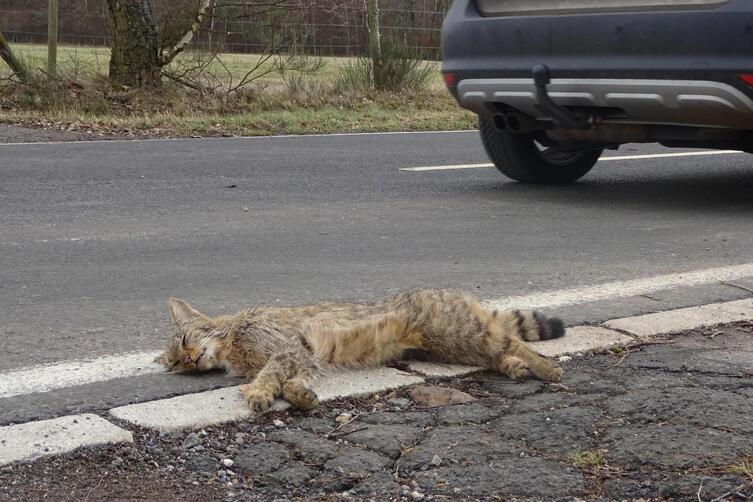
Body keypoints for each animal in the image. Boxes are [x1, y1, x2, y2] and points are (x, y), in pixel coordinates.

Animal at [154, 288, 564, 414]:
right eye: (177, 365)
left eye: (185, 343)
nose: (188, 360)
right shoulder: (306, 357)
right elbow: (292, 381)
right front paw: (298, 394)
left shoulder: (288, 348)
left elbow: (272, 375)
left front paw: (258, 391)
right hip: (449, 347)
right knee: (497, 351)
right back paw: (513, 367)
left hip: (458, 334)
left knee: (510, 340)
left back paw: (544, 367)